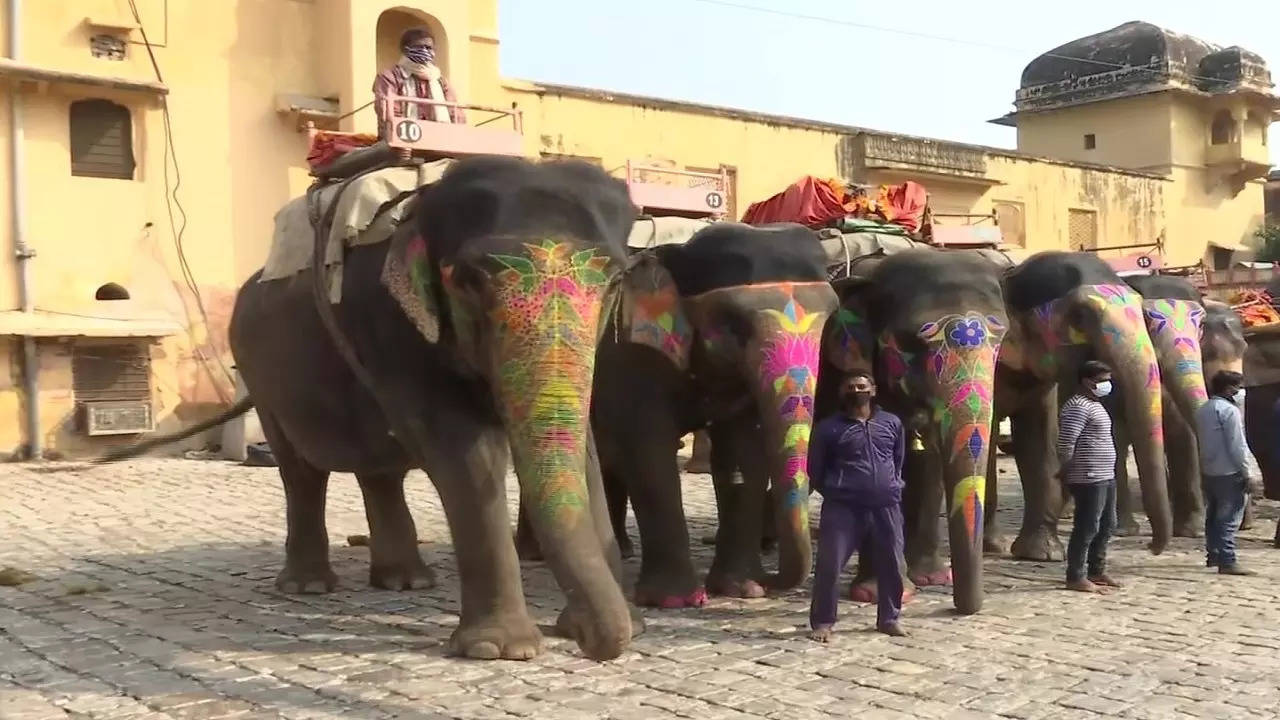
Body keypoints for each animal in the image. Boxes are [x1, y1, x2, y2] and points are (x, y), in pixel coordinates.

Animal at [94, 158, 640, 661]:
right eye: (469, 280)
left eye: (614, 280)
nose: (587, 639)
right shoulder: (392, 328)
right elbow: (468, 454)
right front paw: (500, 650)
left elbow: (585, 449)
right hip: (261, 377)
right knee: (301, 472)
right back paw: (309, 587)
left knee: (378, 469)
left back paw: (405, 582)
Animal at [517, 221, 839, 602]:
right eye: (733, 323)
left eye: (830, 316)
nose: (772, 580)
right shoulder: (631, 356)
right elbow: (648, 451)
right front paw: (673, 600)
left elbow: (744, 452)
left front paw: (743, 589)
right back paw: (534, 554)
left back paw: (618, 550)